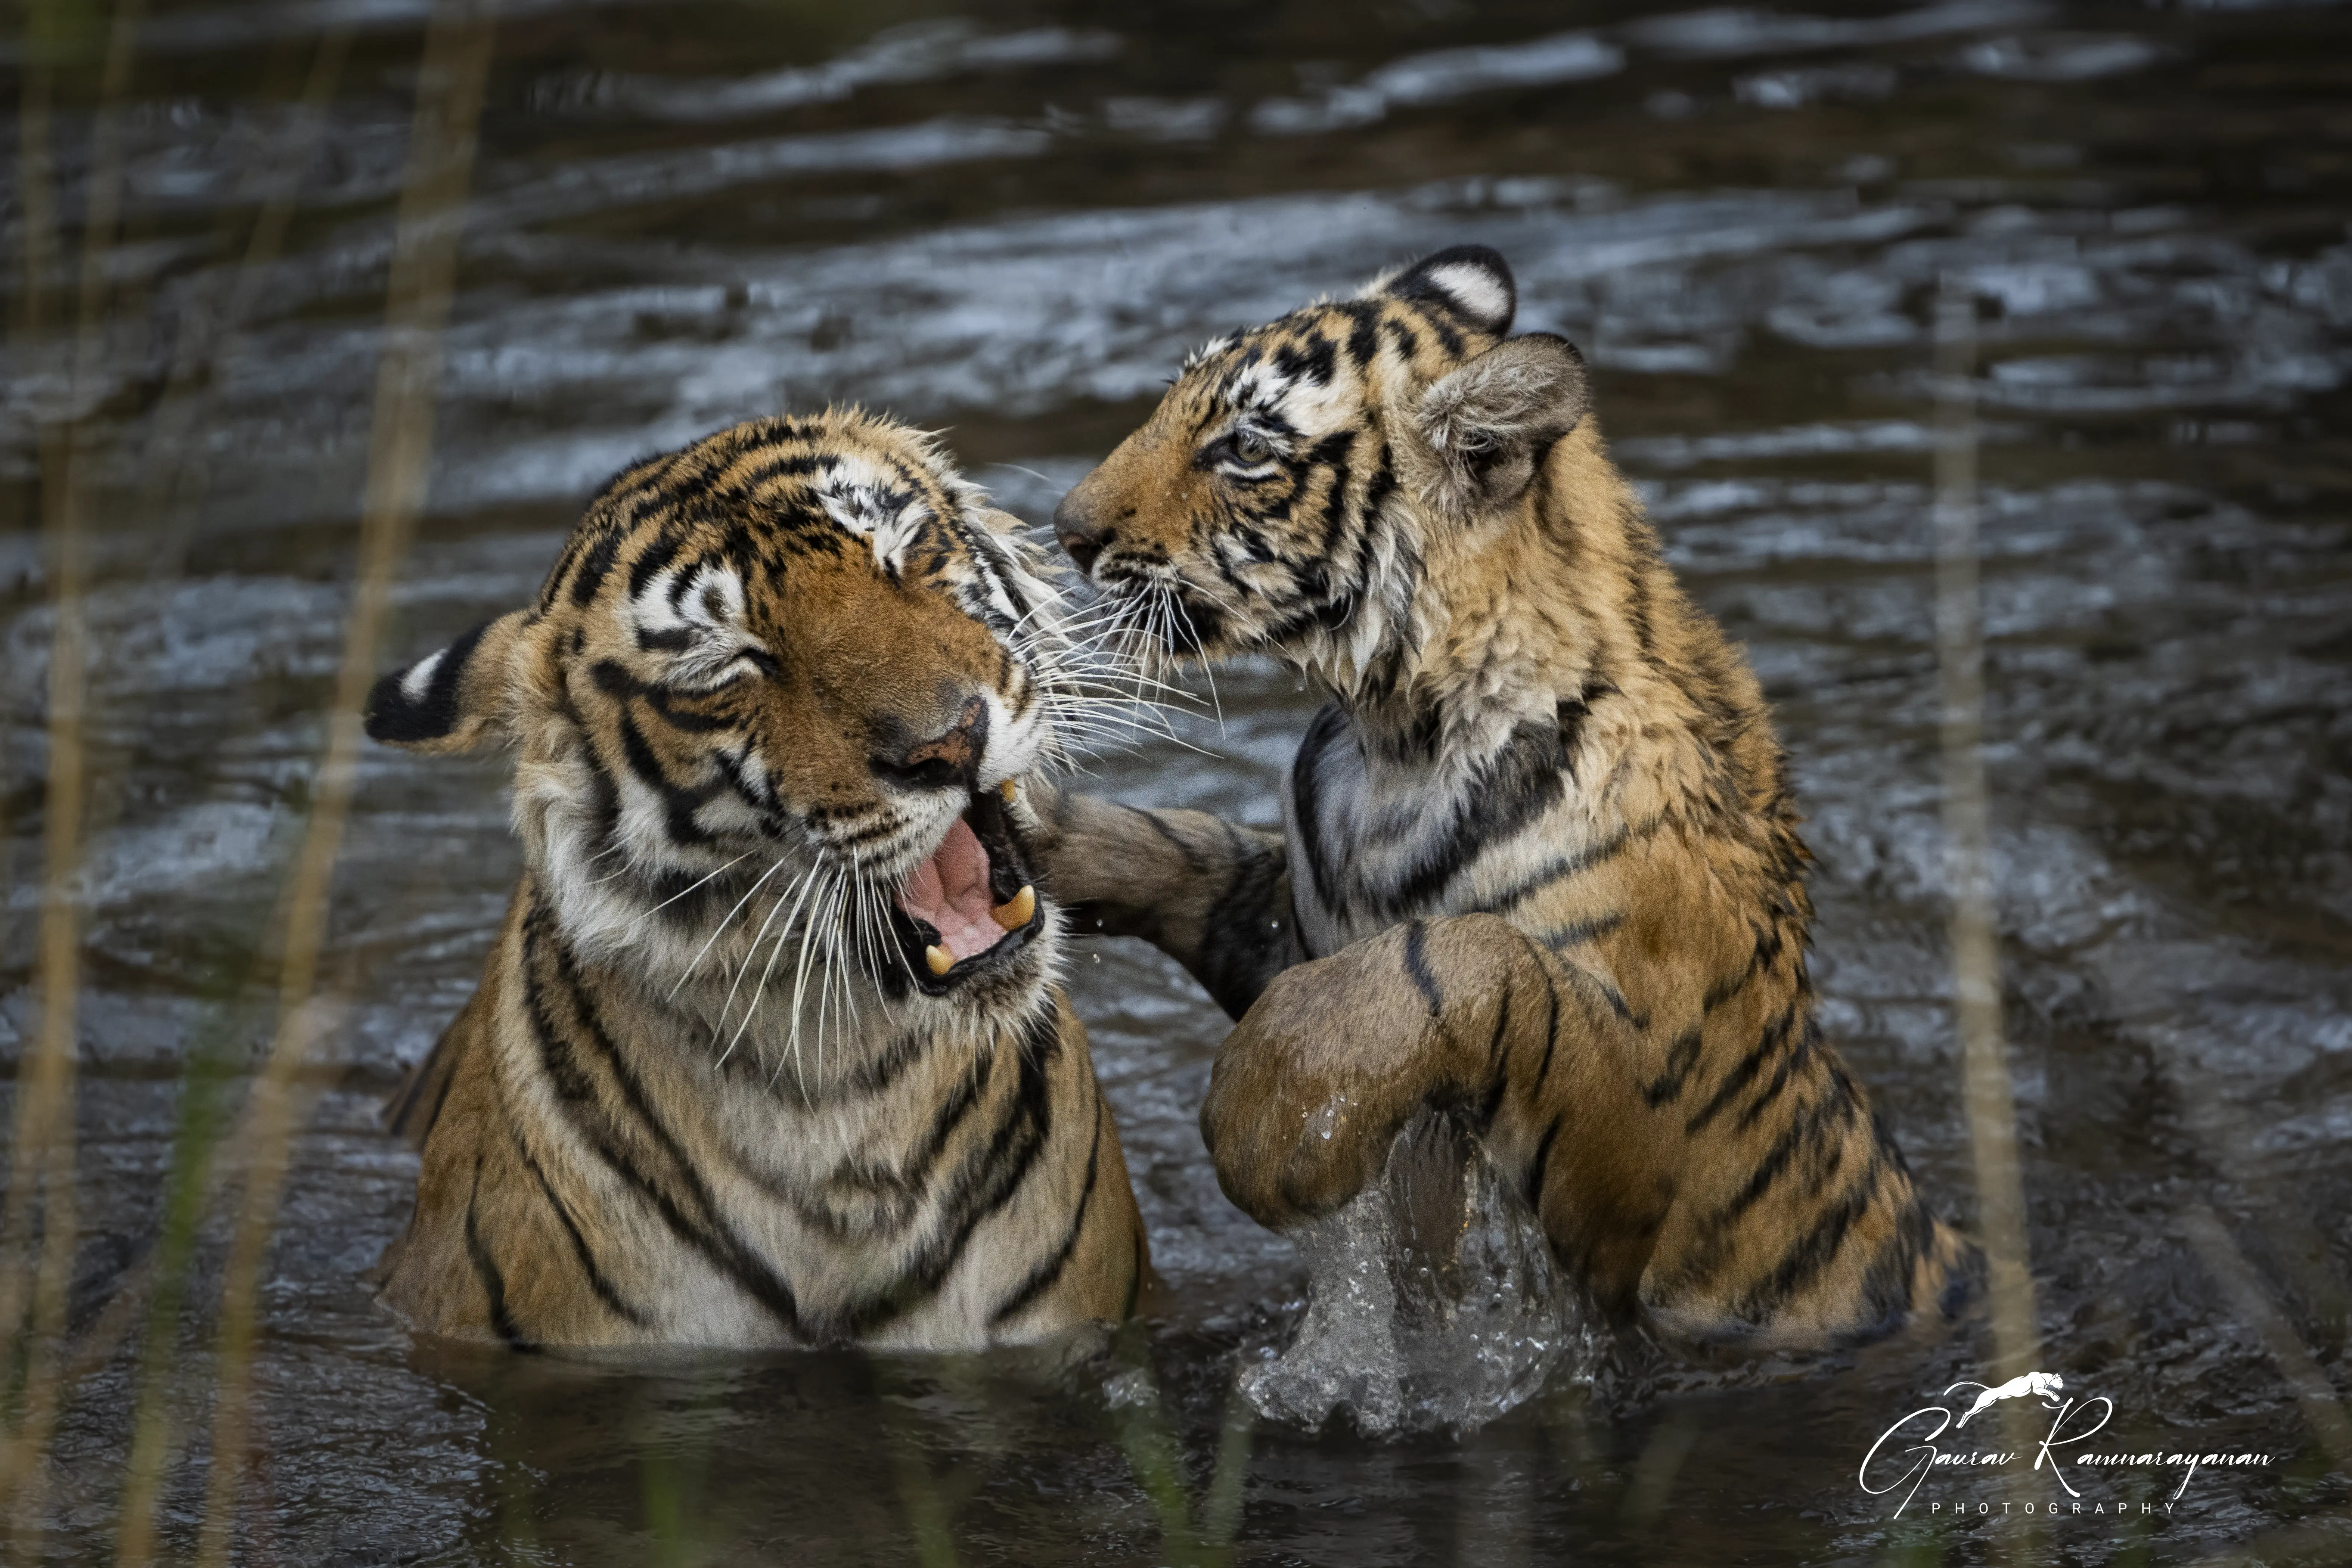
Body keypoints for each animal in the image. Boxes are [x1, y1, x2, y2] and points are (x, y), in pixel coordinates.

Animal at [1034, 244, 1982, 1348]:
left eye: (1242, 448)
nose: (1067, 530)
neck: (1390, 739)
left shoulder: (1638, 1161)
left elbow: (1464, 952)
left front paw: (1268, 1121)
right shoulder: (1287, 920)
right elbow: (1186, 845)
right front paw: (1009, 832)